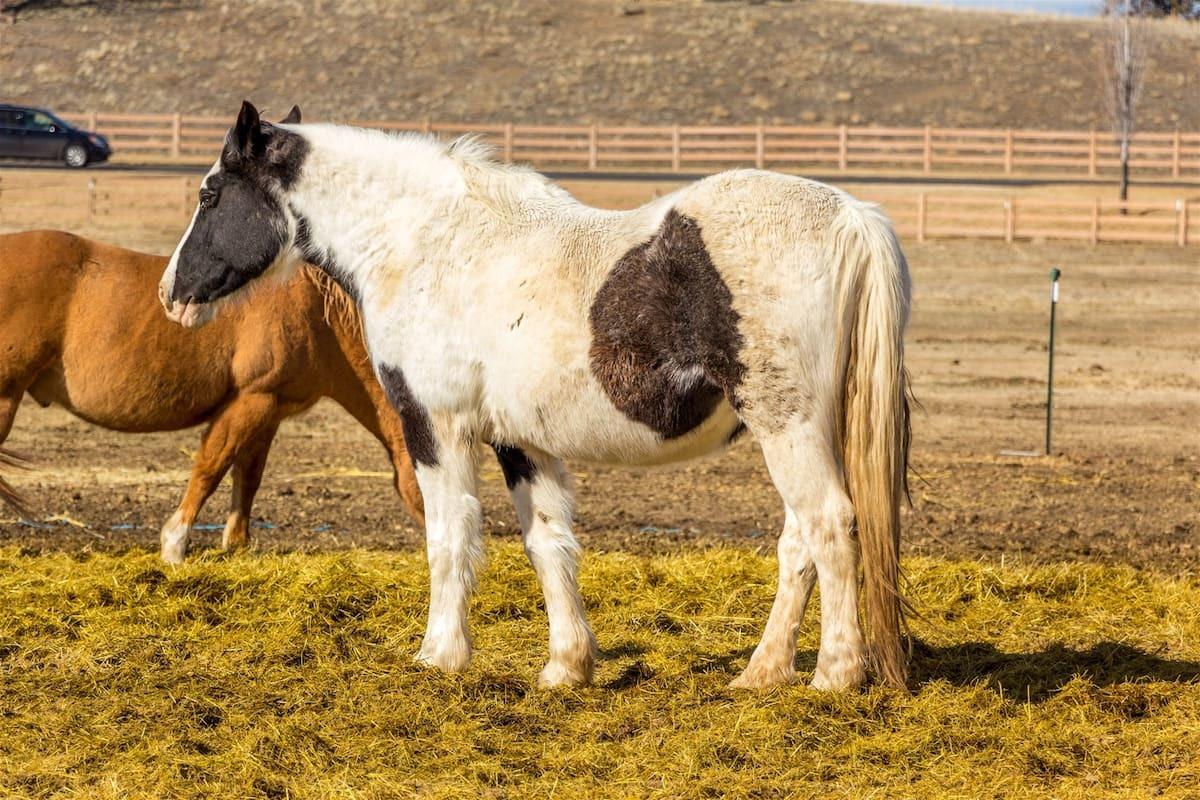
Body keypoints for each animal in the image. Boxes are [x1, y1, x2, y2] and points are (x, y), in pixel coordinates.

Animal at [0, 229, 424, 562]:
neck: (317, 311)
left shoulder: (270, 411)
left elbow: (247, 477)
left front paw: (236, 545)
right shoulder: (250, 401)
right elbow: (211, 467)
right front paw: (175, 545)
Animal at [158, 101, 912, 691]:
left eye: (209, 195)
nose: (172, 294)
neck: (429, 243)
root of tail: (850, 215)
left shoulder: (436, 428)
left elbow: (450, 535)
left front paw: (439, 655)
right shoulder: (521, 440)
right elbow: (548, 542)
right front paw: (566, 666)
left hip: (789, 427)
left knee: (830, 527)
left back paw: (834, 675)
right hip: (799, 432)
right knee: (799, 542)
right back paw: (762, 672)